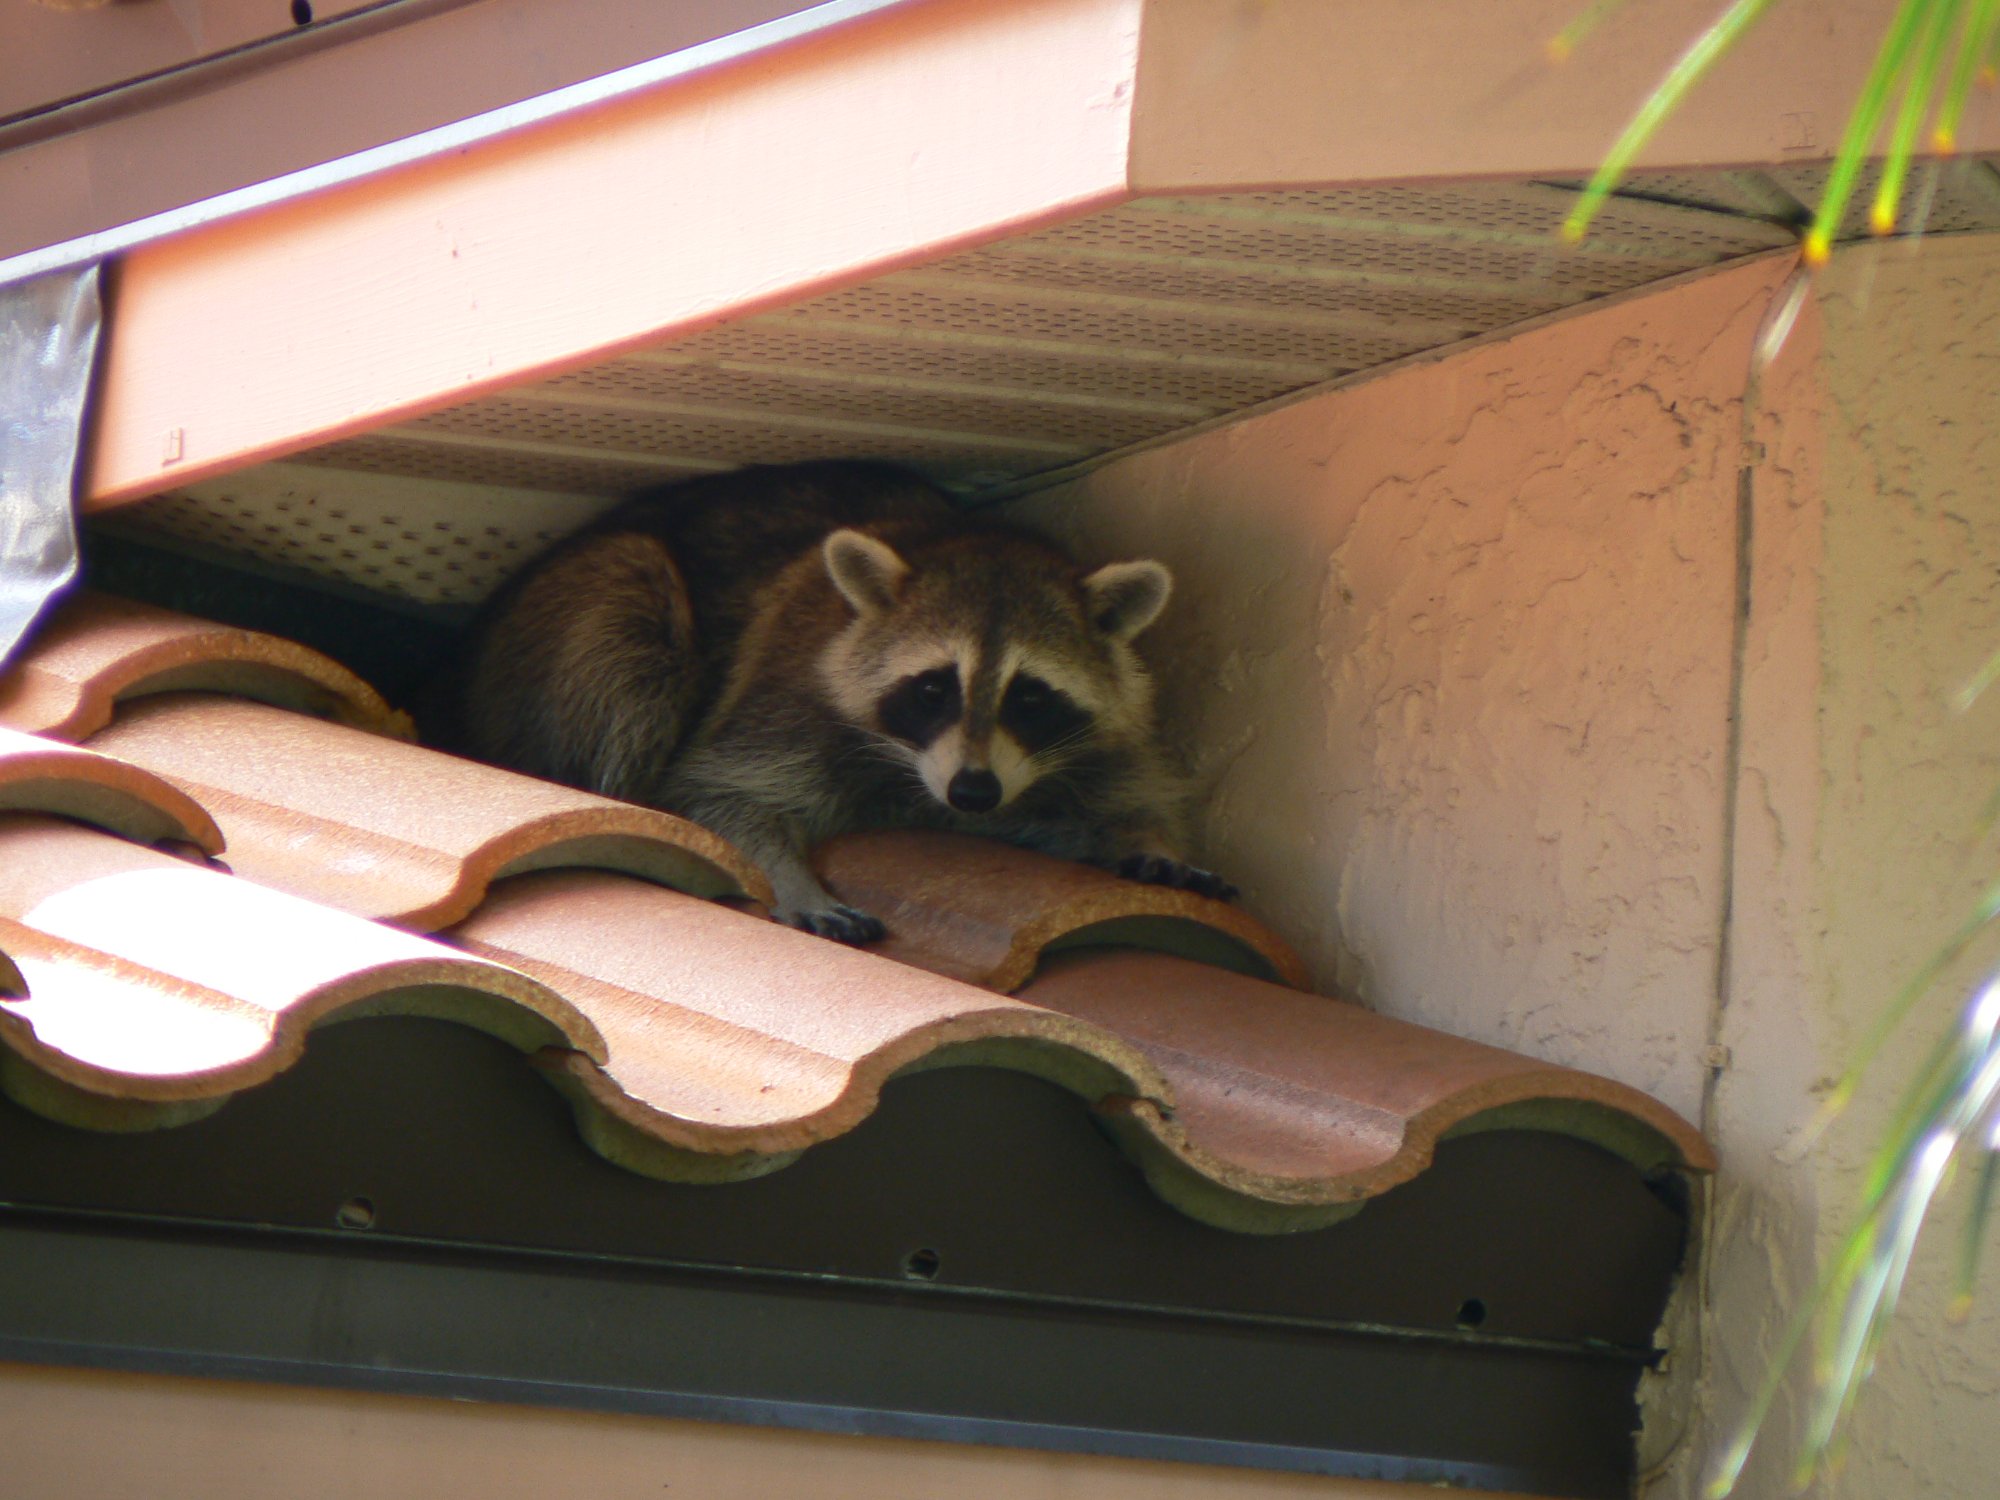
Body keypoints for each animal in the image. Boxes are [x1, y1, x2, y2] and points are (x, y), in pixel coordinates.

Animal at [447, 460, 1231, 941]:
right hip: (567, 624)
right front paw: (793, 880)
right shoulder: (787, 698)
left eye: (1031, 697)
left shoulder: (1094, 745)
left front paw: (1146, 839)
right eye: (933, 688)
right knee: (629, 603)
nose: (973, 792)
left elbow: (1124, 796)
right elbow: (718, 791)